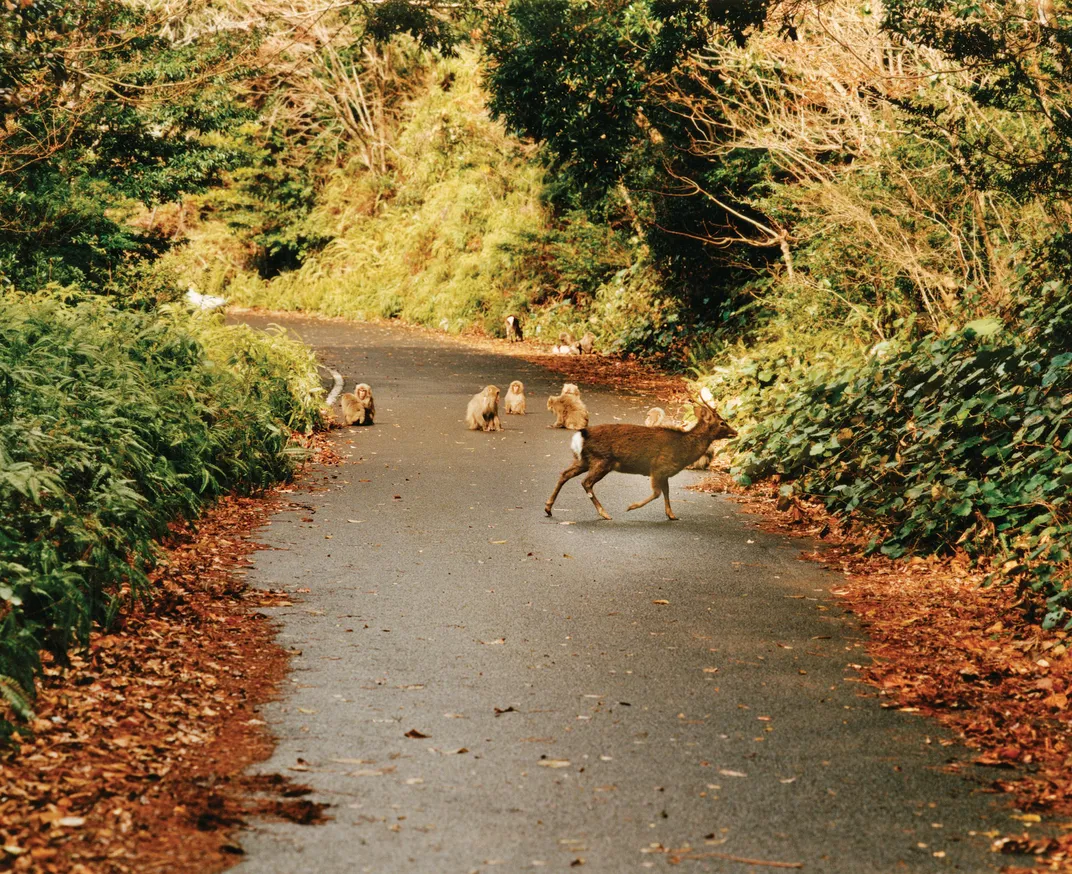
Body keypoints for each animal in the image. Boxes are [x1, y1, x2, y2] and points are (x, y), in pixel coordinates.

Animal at [544, 388, 737, 523]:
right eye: (722, 422)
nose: (735, 432)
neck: (682, 449)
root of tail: (581, 435)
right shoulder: (658, 467)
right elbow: (657, 493)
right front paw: (631, 507)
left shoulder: (664, 472)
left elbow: (666, 492)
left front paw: (671, 515)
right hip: (602, 460)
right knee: (586, 482)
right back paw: (605, 513)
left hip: (584, 460)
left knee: (565, 474)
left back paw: (548, 508)